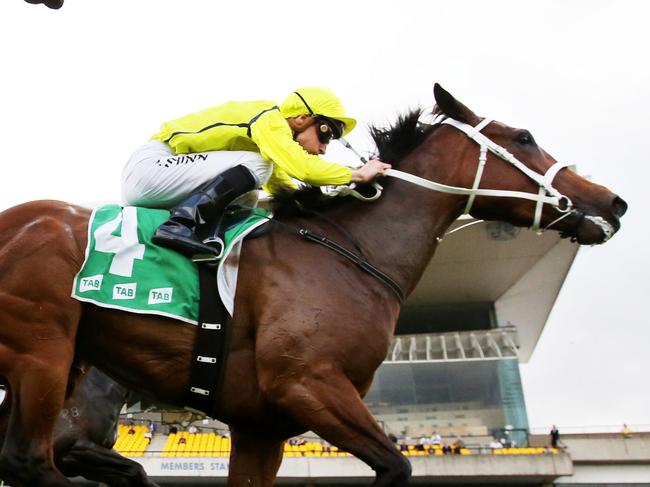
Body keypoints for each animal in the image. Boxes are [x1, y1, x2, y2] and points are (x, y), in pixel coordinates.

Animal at [0, 86, 624, 486]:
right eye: (525, 136)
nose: (612, 202)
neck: (351, 252)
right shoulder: (308, 384)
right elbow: (397, 465)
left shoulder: (261, 427)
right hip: (42, 354)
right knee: (28, 462)